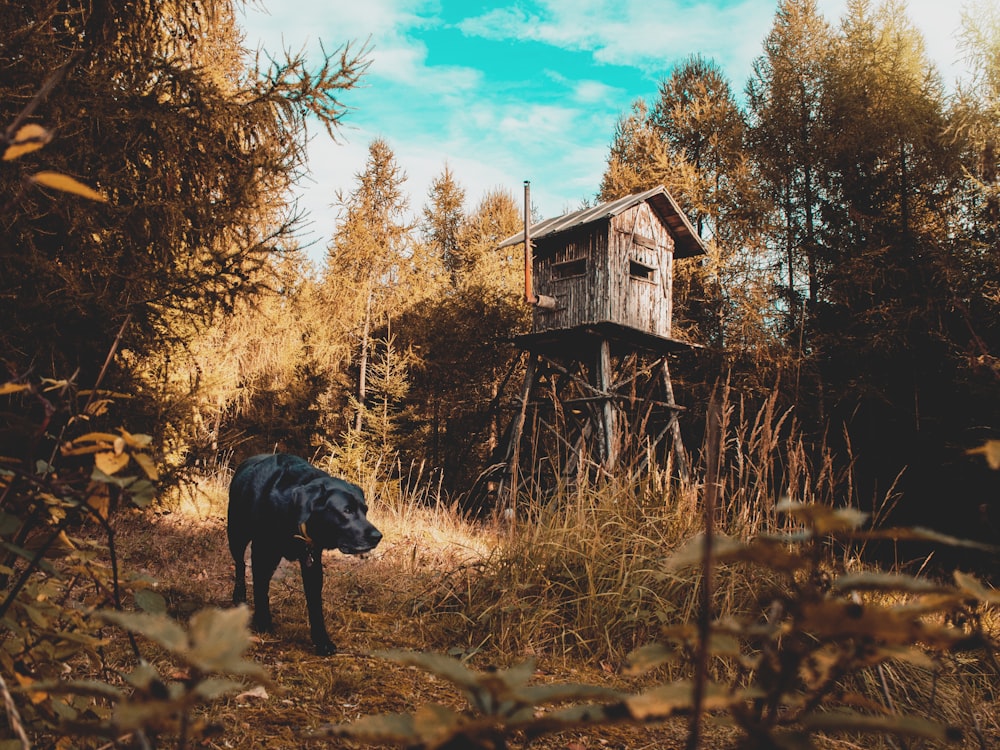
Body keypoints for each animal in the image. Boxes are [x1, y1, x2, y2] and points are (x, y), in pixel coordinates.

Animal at [229, 452, 382, 656]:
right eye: (347, 510)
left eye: (365, 511)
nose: (377, 536)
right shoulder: (262, 550)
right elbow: (260, 589)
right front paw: (263, 622)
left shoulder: (312, 561)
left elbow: (315, 604)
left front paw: (322, 641)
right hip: (237, 534)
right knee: (239, 565)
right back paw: (239, 596)